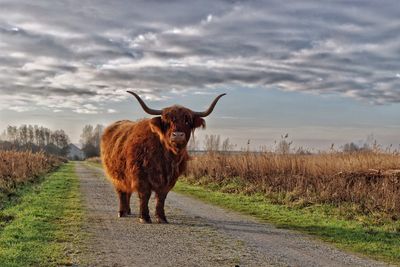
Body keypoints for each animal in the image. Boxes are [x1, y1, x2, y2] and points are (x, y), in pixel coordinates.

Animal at [100, 92, 225, 224]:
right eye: (167, 122)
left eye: (187, 121)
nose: (178, 135)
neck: (165, 158)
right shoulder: (140, 176)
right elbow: (145, 195)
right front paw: (144, 217)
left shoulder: (170, 179)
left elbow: (161, 198)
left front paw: (161, 217)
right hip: (116, 175)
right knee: (121, 192)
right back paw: (122, 212)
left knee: (127, 192)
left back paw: (128, 211)